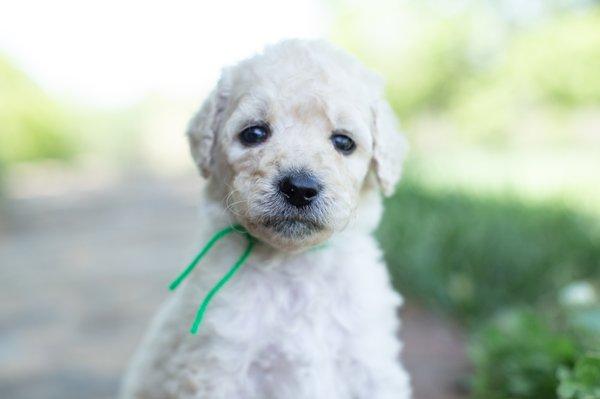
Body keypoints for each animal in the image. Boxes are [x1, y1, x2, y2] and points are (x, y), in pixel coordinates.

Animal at [122, 38, 412, 399]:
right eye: (254, 133)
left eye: (344, 141)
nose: (300, 188)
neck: (294, 265)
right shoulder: (218, 363)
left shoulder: (370, 363)